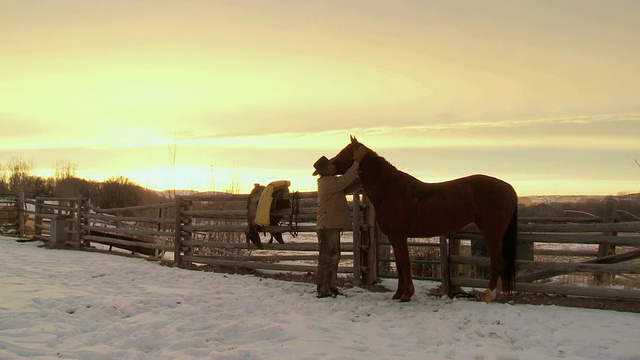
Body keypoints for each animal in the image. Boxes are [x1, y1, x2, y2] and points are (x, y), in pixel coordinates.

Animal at [330, 136, 520, 302]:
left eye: (344, 152)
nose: (328, 163)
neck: (389, 189)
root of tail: (509, 188)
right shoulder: (394, 237)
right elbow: (399, 264)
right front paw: (398, 294)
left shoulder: (398, 236)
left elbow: (404, 263)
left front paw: (407, 295)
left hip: (491, 233)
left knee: (496, 261)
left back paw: (488, 296)